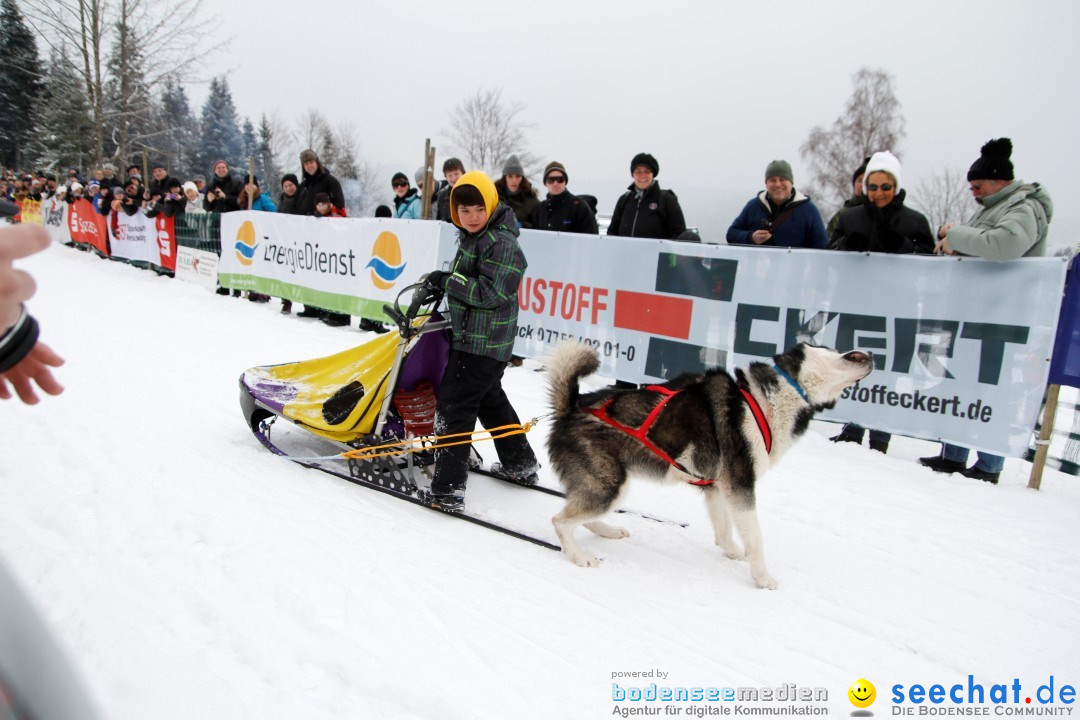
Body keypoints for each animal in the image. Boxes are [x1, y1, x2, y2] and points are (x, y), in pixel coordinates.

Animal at [544, 341, 872, 587]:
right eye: (837, 351)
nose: (870, 354)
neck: (769, 399)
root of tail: (572, 407)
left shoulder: (718, 486)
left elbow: (724, 530)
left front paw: (732, 551)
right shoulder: (741, 483)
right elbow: (756, 538)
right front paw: (763, 578)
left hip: (608, 486)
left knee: (581, 514)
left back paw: (607, 531)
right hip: (610, 485)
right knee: (560, 520)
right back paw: (579, 556)